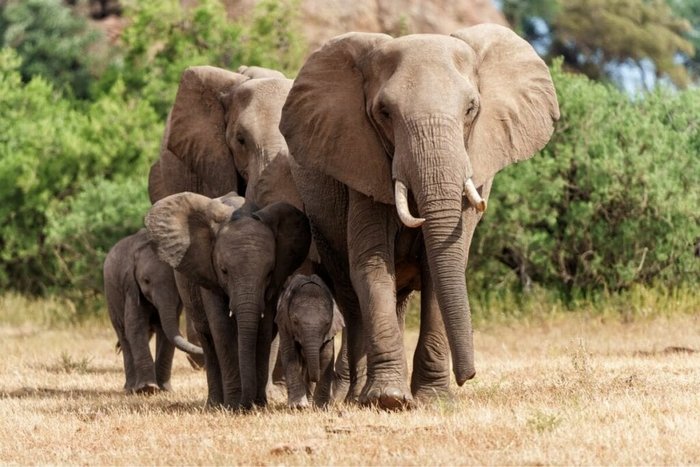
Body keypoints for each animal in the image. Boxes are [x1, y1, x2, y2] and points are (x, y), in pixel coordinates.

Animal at [103, 230, 202, 394]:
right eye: (146, 281)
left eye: (175, 283)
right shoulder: (131, 287)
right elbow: (135, 327)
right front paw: (147, 389)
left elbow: (166, 331)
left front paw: (164, 390)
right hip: (111, 297)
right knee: (123, 335)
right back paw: (130, 388)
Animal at [274, 274, 344, 410]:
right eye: (295, 322)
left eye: (327, 323)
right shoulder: (285, 323)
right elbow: (290, 353)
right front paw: (298, 407)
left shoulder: (330, 331)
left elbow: (326, 355)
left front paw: (321, 407)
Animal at [282, 24, 560, 410]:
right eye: (384, 112)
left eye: (471, 109)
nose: (468, 375)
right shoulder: (362, 164)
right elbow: (371, 265)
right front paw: (388, 400)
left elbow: (441, 267)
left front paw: (433, 400)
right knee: (351, 299)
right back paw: (355, 397)